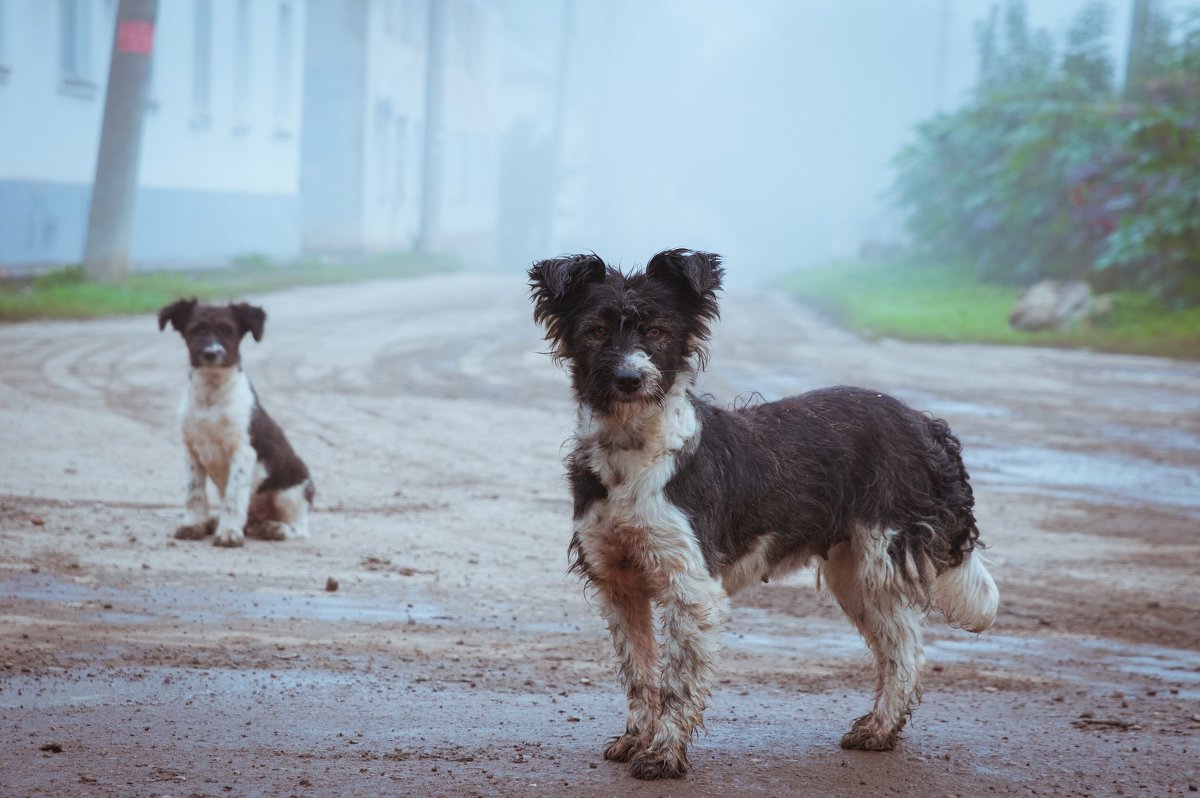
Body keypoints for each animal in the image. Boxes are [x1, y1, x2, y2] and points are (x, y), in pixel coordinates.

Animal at [158, 298, 314, 547]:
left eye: (228, 330)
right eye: (196, 330)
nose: (212, 353)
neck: (211, 397)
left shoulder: (243, 451)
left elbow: (234, 497)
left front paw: (229, 532)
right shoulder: (191, 451)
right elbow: (195, 494)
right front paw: (193, 525)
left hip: (291, 492)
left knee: (301, 527)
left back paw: (276, 528)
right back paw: (214, 522)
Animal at [530, 247, 998, 777]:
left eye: (658, 331)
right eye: (595, 331)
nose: (630, 379)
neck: (632, 455)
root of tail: (924, 422)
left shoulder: (692, 586)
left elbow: (677, 683)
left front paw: (664, 754)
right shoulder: (618, 581)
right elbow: (639, 673)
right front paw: (636, 739)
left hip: (880, 559)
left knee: (906, 652)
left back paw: (881, 729)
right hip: (852, 572)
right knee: (904, 649)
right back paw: (879, 729)